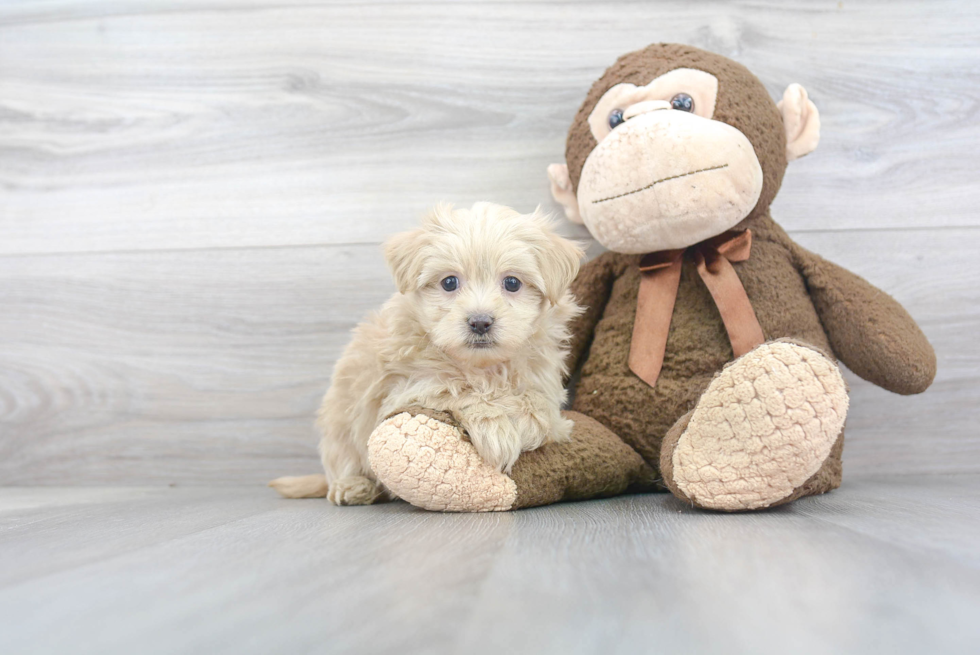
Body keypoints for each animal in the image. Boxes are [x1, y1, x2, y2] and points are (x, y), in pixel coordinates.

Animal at [270, 202, 580, 504]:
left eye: (512, 283)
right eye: (449, 282)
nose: (480, 322)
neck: (482, 366)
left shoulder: (542, 374)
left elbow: (539, 401)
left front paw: (531, 421)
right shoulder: (406, 387)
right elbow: (457, 387)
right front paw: (494, 427)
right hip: (340, 426)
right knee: (343, 460)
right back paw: (352, 486)